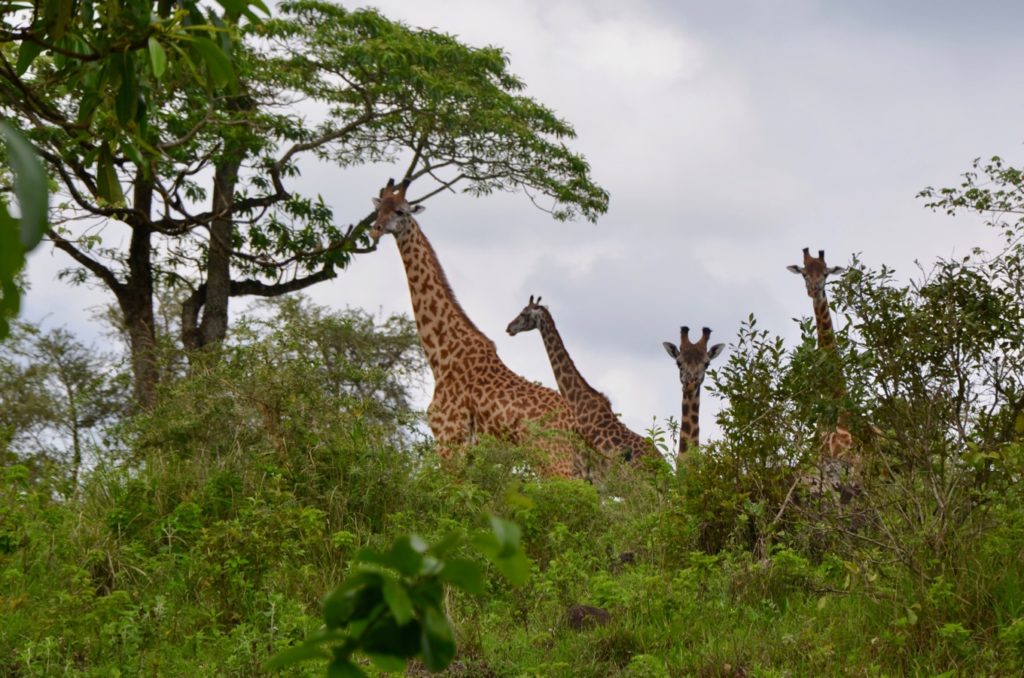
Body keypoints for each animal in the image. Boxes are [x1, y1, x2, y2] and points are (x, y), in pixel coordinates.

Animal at [372, 178, 589, 481]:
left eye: (401, 211)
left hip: (553, 460)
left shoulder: (449, 437)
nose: (375, 229)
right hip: (572, 466)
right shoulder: (468, 451)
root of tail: (574, 427)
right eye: (378, 208)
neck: (441, 355)